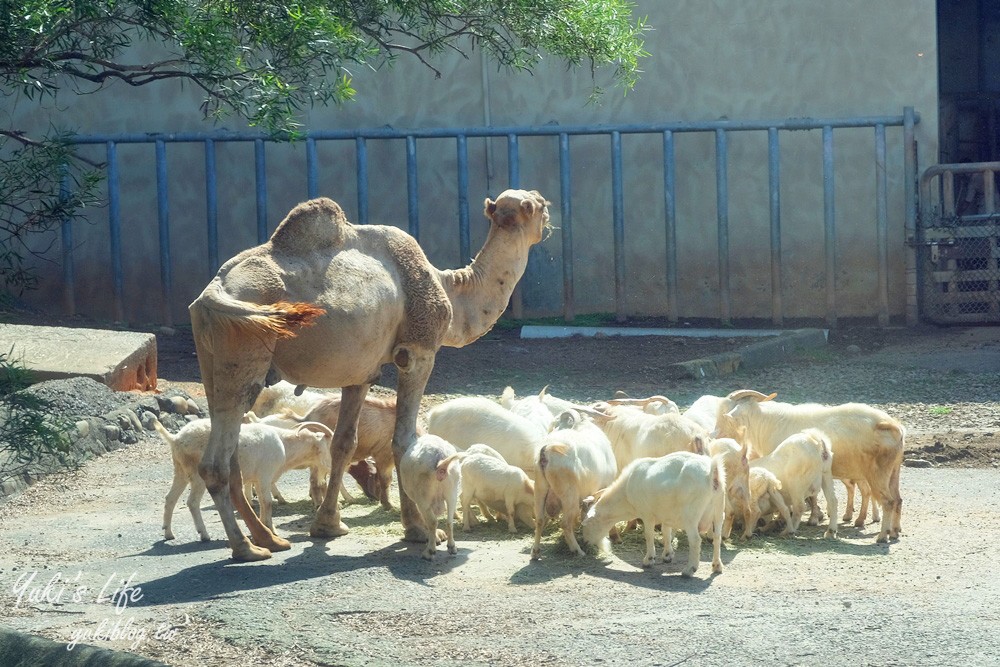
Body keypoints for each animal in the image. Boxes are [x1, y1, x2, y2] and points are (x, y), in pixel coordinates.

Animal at [190, 190, 552, 560]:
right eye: (539, 207)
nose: (547, 217)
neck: (447, 288)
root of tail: (212, 291)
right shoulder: (417, 352)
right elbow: (402, 440)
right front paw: (419, 530)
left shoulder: (360, 372)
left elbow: (343, 443)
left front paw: (328, 525)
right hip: (245, 352)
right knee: (216, 463)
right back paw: (246, 548)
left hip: (211, 363)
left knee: (230, 454)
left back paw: (268, 538)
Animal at [532, 412, 616, 560]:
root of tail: (546, 451)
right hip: (569, 495)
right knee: (565, 523)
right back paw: (577, 550)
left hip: (540, 489)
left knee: (540, 520)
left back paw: (535, 552)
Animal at [580, 452, 728, 576]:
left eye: (588, 525)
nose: (585, 543)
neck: (625, 494)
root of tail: (712, 474)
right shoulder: (666, 514)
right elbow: (666, 532)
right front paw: (667, 555)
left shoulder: (647, 514)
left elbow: (649, 535)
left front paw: (649, 560)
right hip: (719, 511)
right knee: (717, 538)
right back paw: (717, 566)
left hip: (691, 515)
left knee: (696, 540)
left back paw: (689, 570)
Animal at [720, 392, 908, 544]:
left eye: (728, 419)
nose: (717, 436)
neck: (769, 423)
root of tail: (894, 426)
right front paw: (814, 518)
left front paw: (798, 520)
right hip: (893, 472)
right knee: (897, 499)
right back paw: (893, 531)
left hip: (877, 474)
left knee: (887, 501)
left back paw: (882, 535)